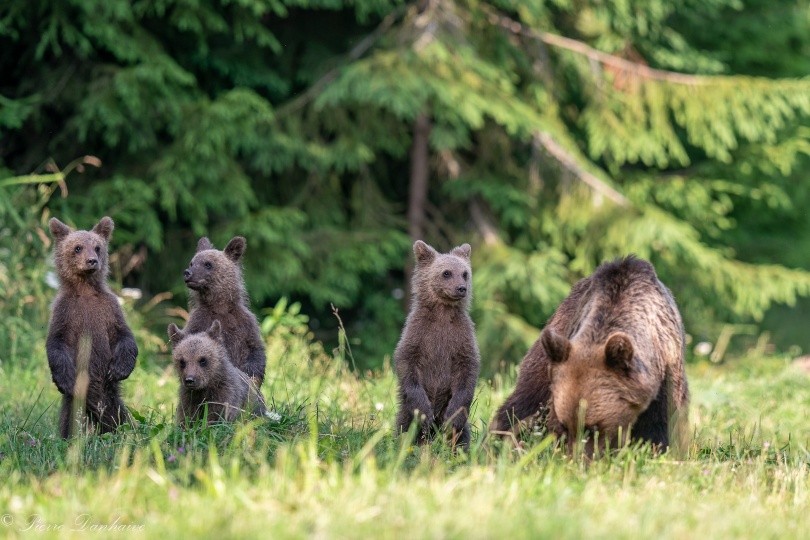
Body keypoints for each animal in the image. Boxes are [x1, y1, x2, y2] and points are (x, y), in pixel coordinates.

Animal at [45, 216, 137, 438]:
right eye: (77, 247)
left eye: (97, 247)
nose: (92, 261)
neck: (85, 290)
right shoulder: (65, 312)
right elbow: (56, 343)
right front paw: (65, 379)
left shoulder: (109, 308)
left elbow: (124, 335)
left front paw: (119, 369)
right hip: (76, 404)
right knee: (70, 421)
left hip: (112, 398)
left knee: (121, 417)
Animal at [181, 236, 266, 388]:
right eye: (192, 263)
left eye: (208, 264)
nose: (187, 273)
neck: (220, 307)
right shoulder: (199, 321)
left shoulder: (245, 323)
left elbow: (255, 349)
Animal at [392, 240, 480, 448]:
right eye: (446, 273)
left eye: (465, 273)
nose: (461, 288)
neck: (443, 313)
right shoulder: (419, 333)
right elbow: (407, 361)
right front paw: (424, 414)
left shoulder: (461, 336)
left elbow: (467, 369)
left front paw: (453, 418)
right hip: (406, 412)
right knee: (404, 426)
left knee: (461, 433)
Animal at [486, 256, 688, 456]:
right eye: (565, 426)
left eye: (593, 428)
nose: (577, 458)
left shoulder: (666, 375)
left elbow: (659, 427)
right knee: (524, 400)